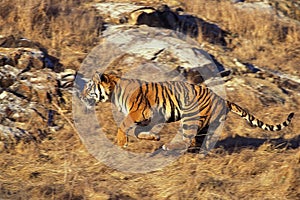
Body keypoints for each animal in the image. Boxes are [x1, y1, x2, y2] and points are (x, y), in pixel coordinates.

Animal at [81, 72, 294, 151]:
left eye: (89, 87)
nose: (81, 95)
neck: (114, 93)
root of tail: (222, 98)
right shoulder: (147, 118)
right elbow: (137, 130)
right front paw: (152, 138)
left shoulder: (140, 112)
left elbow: (125, 124)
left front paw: (121, 142)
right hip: (204, 124)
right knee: (196, 141)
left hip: (190, 117)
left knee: (188, 139)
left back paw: (169, 147)